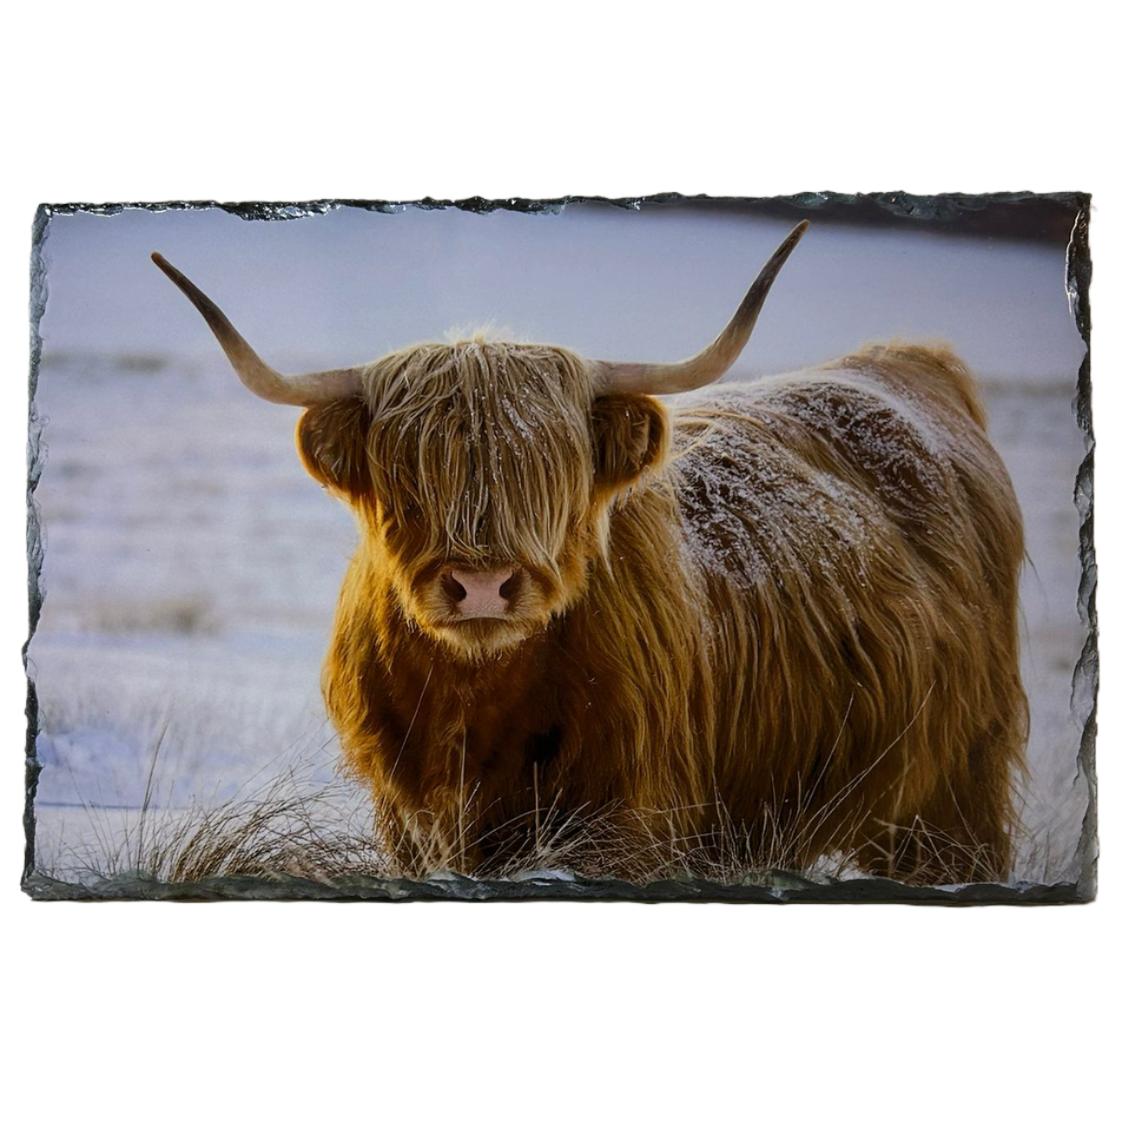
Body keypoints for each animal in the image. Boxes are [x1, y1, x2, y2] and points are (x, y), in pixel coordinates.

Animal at [152, 222, 1028, 884]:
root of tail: (907, 361)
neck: (477, 704)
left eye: (553, 473)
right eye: (409, 474)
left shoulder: (625, 820)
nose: (481, 587)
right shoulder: (406, 819)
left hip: (955, 792)